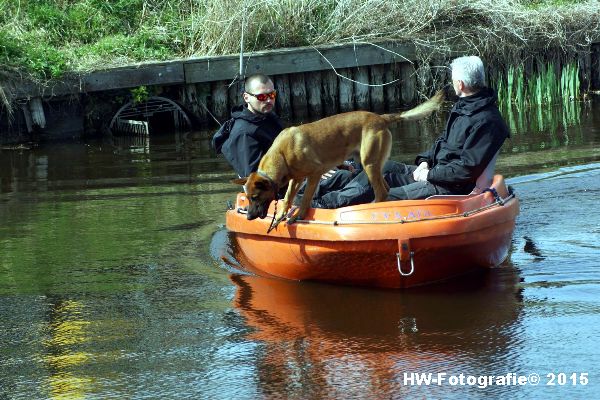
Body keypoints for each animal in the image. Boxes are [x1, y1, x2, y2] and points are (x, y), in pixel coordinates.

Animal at [234, 90, 446, 228]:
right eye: (248, 198)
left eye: (255, 197)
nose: (249, 218)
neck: (282, 154)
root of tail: (381, 118)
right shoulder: (296, 179)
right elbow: (287, 198)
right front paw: (280, 215)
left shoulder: (314, 174)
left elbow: (305, 199)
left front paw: (298, 216)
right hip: (372, 165)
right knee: (385, 190)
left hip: (369, 164)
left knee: (381, 193)